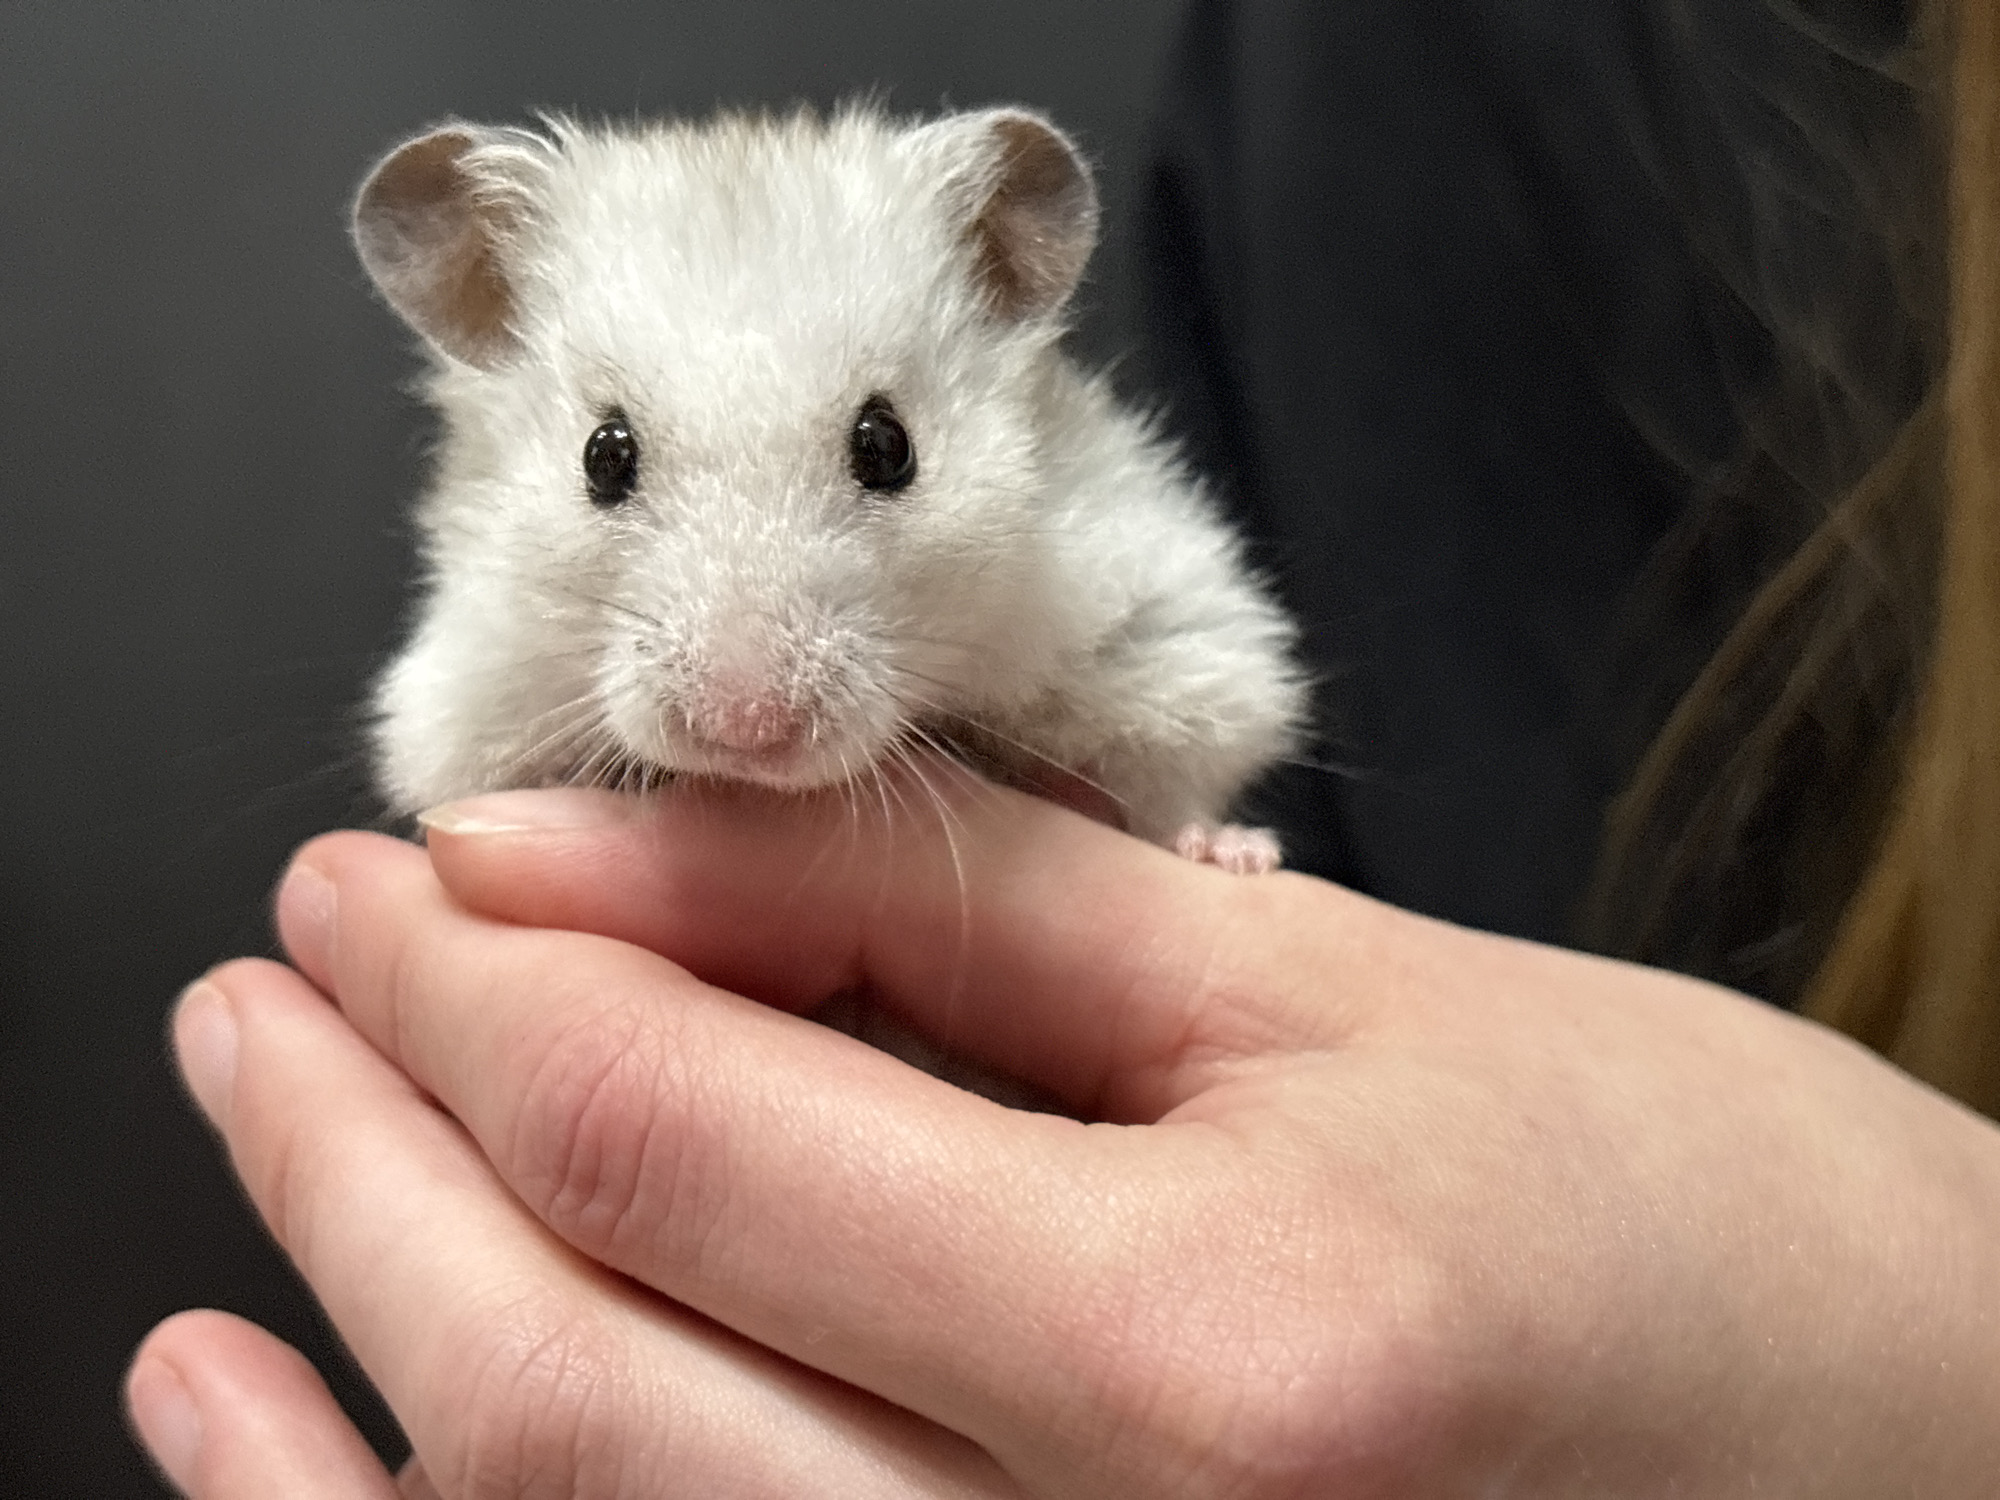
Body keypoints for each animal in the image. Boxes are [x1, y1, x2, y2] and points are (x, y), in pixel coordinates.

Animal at [352, 106, 1305, 871]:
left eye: (887, 445)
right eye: (603, 456)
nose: (745, 732)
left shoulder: (1174, 636)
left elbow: (1178, 778)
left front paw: (1233, 854)